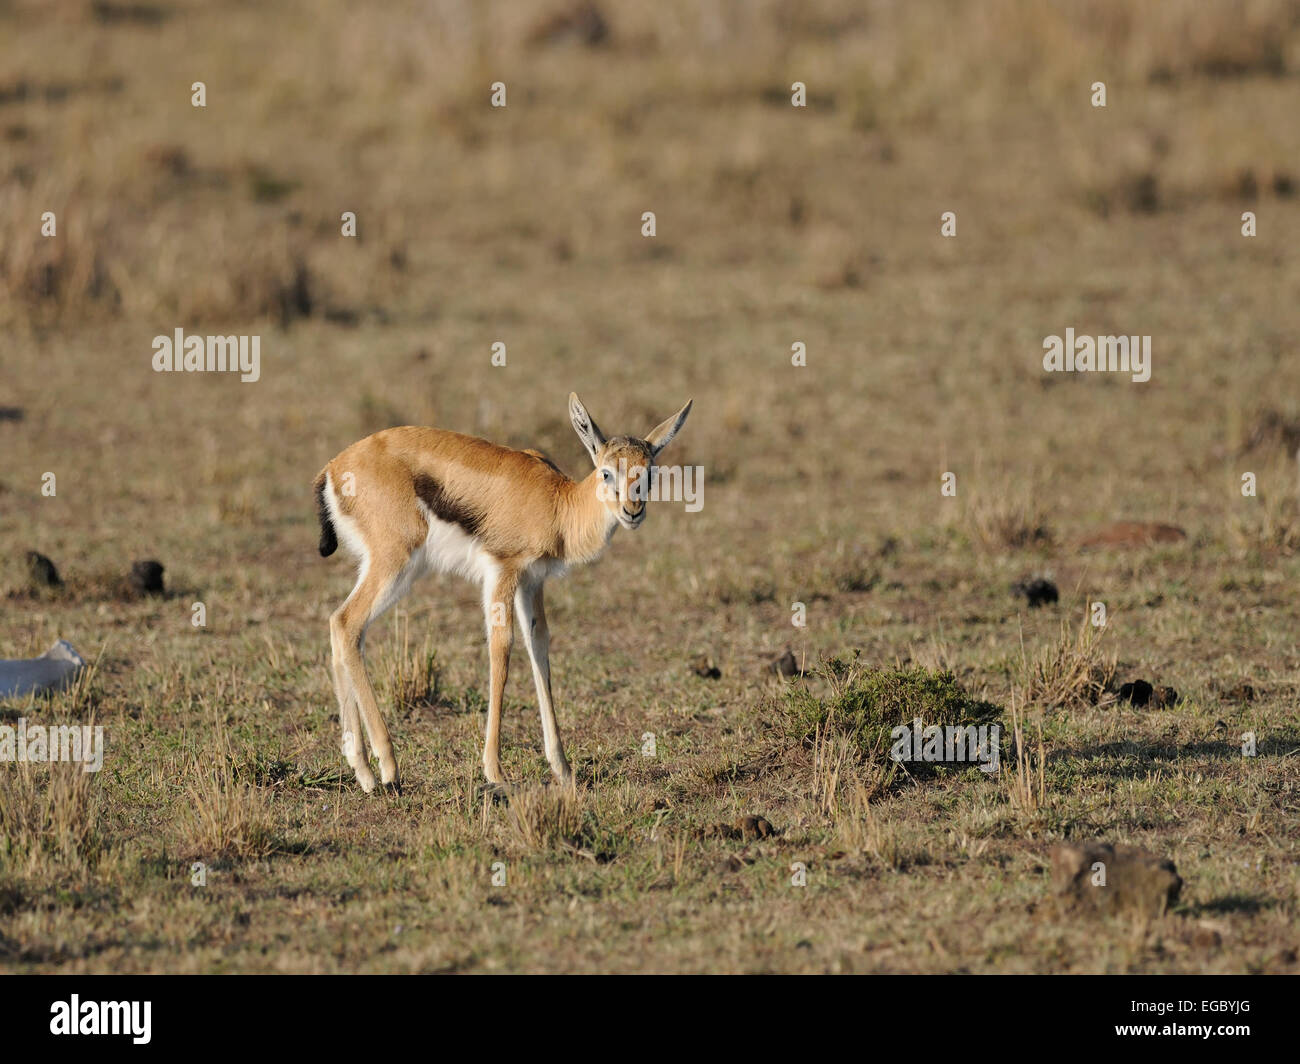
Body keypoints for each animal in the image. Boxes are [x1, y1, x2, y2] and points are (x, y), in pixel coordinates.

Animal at [313, 393, 692, 794]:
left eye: (648, 472)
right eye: (606, 472)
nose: (632, 511)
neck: (558, 504)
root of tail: (333, 468)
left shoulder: (532, 581)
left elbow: (538, 647)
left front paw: (563, 769)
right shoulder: (502, 572)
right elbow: (502, 650)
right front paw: (494, 770)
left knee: (341, 628)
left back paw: (362, 768)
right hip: (394, 564)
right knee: (347, 623)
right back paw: (386, 768)